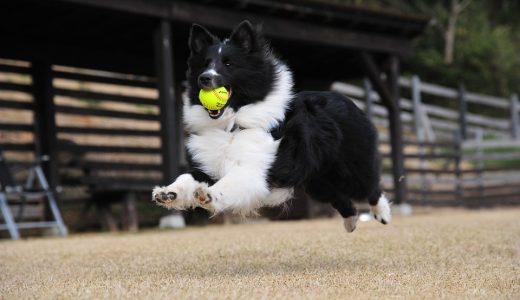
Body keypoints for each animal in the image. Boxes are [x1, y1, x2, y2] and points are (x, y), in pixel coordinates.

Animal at [151, 20, 390, 232]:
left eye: (228, 64)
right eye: (205, 63)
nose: (204, 78)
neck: (232, 126)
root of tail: (347, 99)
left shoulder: (253, 170)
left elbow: (229, 184)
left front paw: (208, 195)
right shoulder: (207, 165)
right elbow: (186, 177)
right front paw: (168, 193)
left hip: (349, 169)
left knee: (370, 187)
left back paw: (383, 214)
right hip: (317, 180)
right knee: (342, 200)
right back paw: (351, 223)